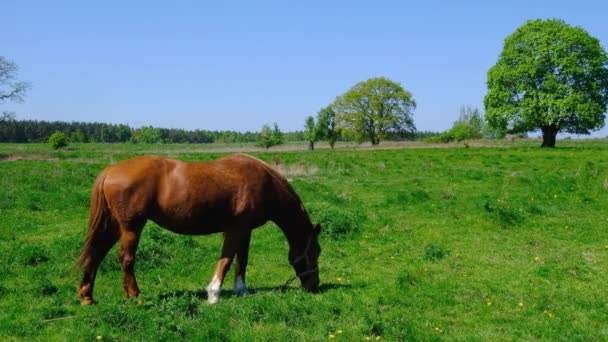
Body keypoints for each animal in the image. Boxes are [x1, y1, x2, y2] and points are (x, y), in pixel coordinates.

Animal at [76, 154, 324, 304]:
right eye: (315, 251)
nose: (314, 286)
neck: (264, 182)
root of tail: (110, 170)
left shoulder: (245, 230)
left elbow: (241, 259)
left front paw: (241, 290)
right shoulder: (236, 228)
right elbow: (226, 260)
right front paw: (213, 294)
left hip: (113, 226)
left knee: (96, 255)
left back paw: (87, 297)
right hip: (131, 228)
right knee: (126, 258)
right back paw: (135, 296)